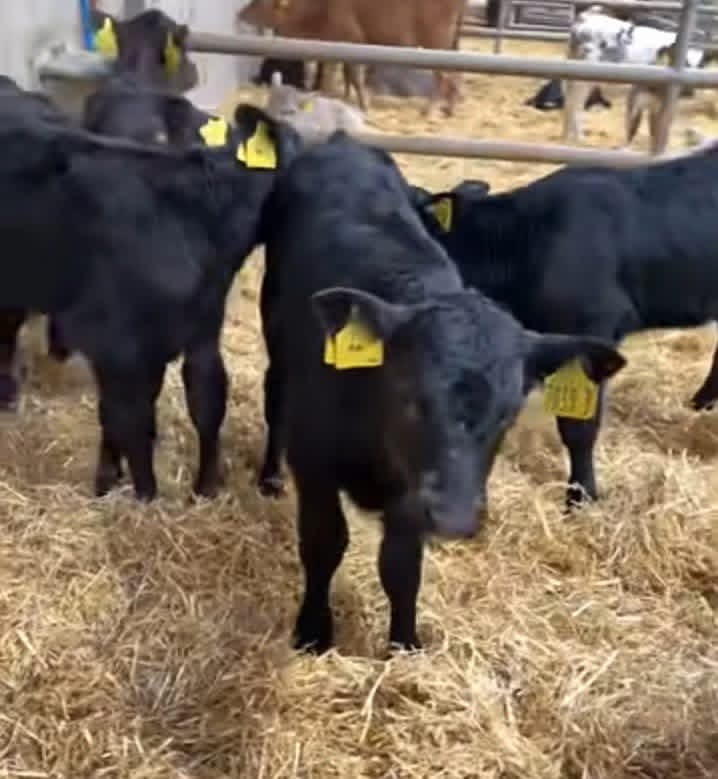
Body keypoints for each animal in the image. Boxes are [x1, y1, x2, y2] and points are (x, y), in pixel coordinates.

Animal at [0, 104, 300, 500]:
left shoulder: (195, 332)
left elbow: (204, 403)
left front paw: (203, 487)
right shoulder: (116, 342)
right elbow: (129, 419)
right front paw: (143, 495)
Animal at [237, 0, 467, 117]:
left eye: (260, 2)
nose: (240, 14)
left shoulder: (348, 40)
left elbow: (346, 75)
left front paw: (359, 103)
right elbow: (345, 73)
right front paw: (346, 97)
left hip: (436, 41)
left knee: (443, 75)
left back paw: (430, 110)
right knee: (456, 74)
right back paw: (450, 107)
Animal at [256, 130, 625, 653]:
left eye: (507, 416)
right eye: (410, 396)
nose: (452, 516)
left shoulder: (412, 495)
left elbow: (401, 567)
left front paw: (404, 645)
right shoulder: (315, 461)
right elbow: (324, 543)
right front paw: (312, 631)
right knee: (274, 402)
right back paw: (269, 476)